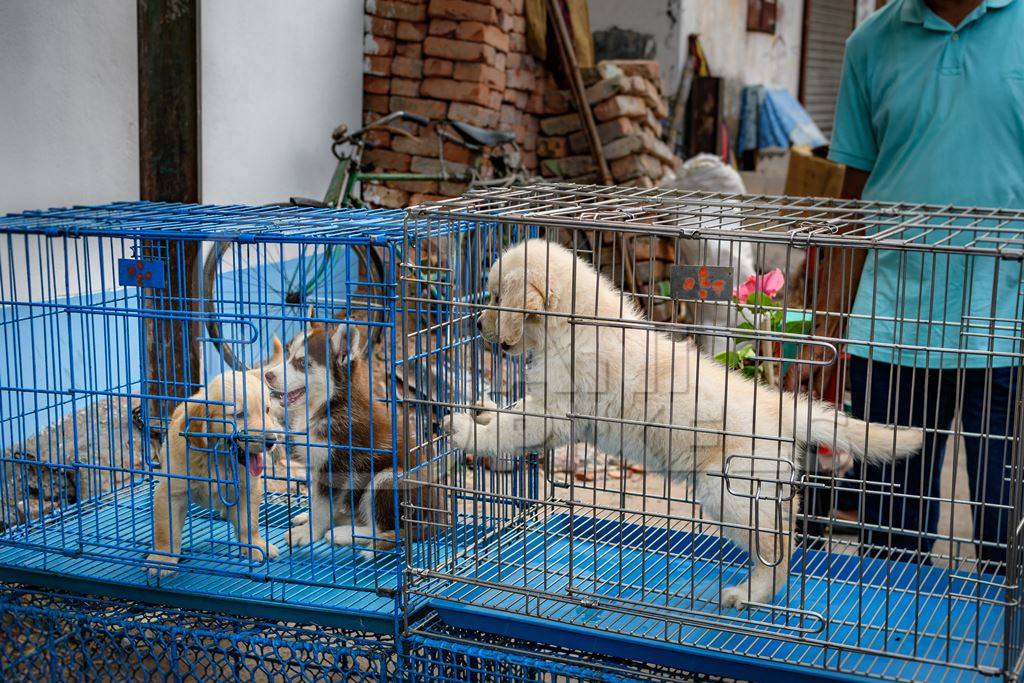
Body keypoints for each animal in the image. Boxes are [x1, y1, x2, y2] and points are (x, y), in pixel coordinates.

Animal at [144, 368, 280, 577]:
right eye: (239, 414)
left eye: (266, 410)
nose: (271, 441)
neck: (218, 459)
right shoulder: (170, 491)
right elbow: (165, 530)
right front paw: (163, 559)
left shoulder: (247, 488)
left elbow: (248, 523)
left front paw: (255, 546)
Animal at [264, 321, 440, 557]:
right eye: (287, 354)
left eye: (302, 363)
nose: (268, 375)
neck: (330, 405)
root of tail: (435, 519)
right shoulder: (317, 462)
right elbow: (317, 499)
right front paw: (309, 518)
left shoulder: (338, 464)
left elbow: (322, 505)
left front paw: (309, 532)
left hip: (389, 478)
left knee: (388, 528)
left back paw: (346, 533)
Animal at [440, 239, 921, 610]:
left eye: (496, 298)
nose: (476, 323)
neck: (574, 324)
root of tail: (782, 407)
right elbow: (511, 413)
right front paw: (484, 407)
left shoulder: (554, 409)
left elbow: (512, 428)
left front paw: (467, 429)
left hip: (731, 491)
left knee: (778, 548)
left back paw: (749, 594)